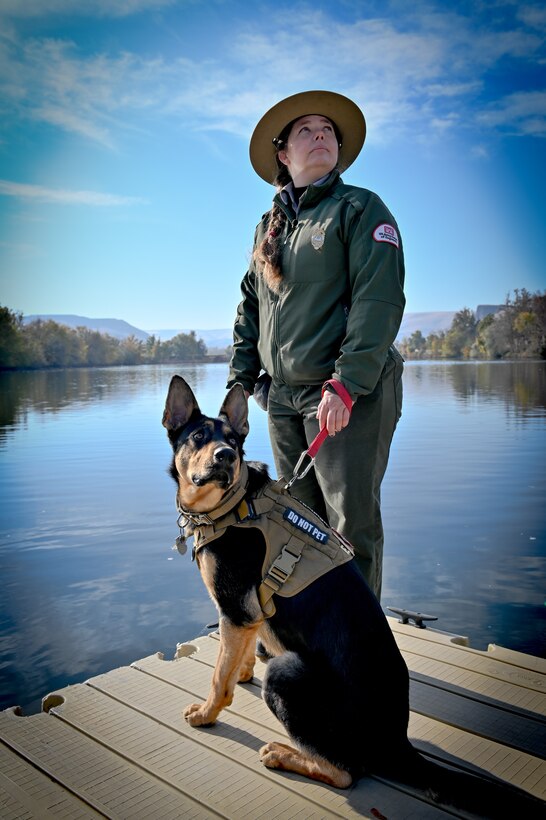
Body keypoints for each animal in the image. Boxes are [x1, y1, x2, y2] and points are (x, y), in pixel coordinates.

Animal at [164, 374, 540, 816]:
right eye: (198, 437)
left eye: (232, 443)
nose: (225, 457)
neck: (234, 502)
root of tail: (396, 743)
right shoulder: (245, 616)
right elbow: (234, 657)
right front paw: (242, 671)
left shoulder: (236, 610)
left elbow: (217, 677)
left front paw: (207, 713)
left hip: (286, 673)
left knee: (346, 772)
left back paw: (283, 754)